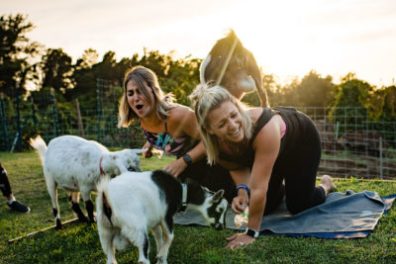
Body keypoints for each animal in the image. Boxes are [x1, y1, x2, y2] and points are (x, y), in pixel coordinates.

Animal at [95, 170, 229, 262]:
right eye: (219, 209)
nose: (221, 227)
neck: (182, 192)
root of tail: (106, 196)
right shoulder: (166, 216)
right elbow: (170, 236)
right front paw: (161, 255)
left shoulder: (156, 220)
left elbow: (159, 236)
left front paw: (161, 257)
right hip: (136, 228)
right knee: (143, 257)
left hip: (104, 230)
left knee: (110, 256)